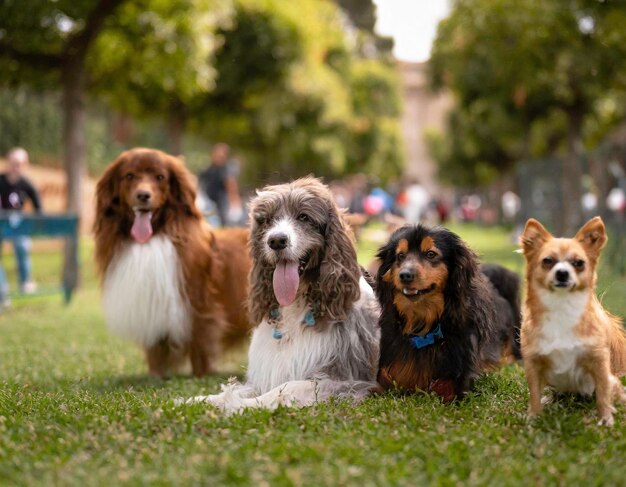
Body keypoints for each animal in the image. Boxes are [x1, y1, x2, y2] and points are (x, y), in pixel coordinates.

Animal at [94, 148, 250, 378]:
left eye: (160, 177)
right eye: (129, 176)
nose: (143, 195)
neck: (153, 238)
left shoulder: (197, 302)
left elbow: (199, 341)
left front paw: (200, 374)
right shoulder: (151, 306)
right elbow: (156, 349)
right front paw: (156, 375)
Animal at [180, 177, 380, 414]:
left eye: (303, 216)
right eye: (267, 220)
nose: (276, 241)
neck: (298, 301)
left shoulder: (348, 381)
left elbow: (286, 388)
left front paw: (241, 404)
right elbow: (241, 389)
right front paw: (197, 400)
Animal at [516, 217, 624, 428]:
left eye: (579, 263)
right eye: (547, 261)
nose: (562, 273)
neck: (561, 307)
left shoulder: (599, 361)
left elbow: (603, 395)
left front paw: (606, 419)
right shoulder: (532, 363)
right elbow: (534, 394)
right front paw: (533, 417)